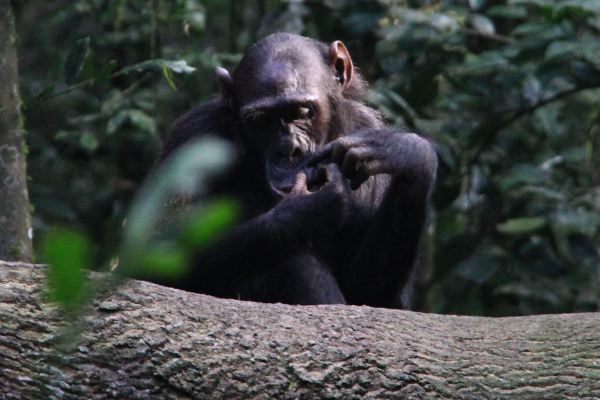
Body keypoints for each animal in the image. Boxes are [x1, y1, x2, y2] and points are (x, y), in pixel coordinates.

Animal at [154, 33, 436, 310]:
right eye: (260, 119)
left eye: (302, 111)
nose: (288, 149)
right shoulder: (193, 134)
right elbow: (160, 251)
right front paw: (306, 210)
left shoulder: (365, 130)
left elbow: (370, 295)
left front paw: (408, 152)